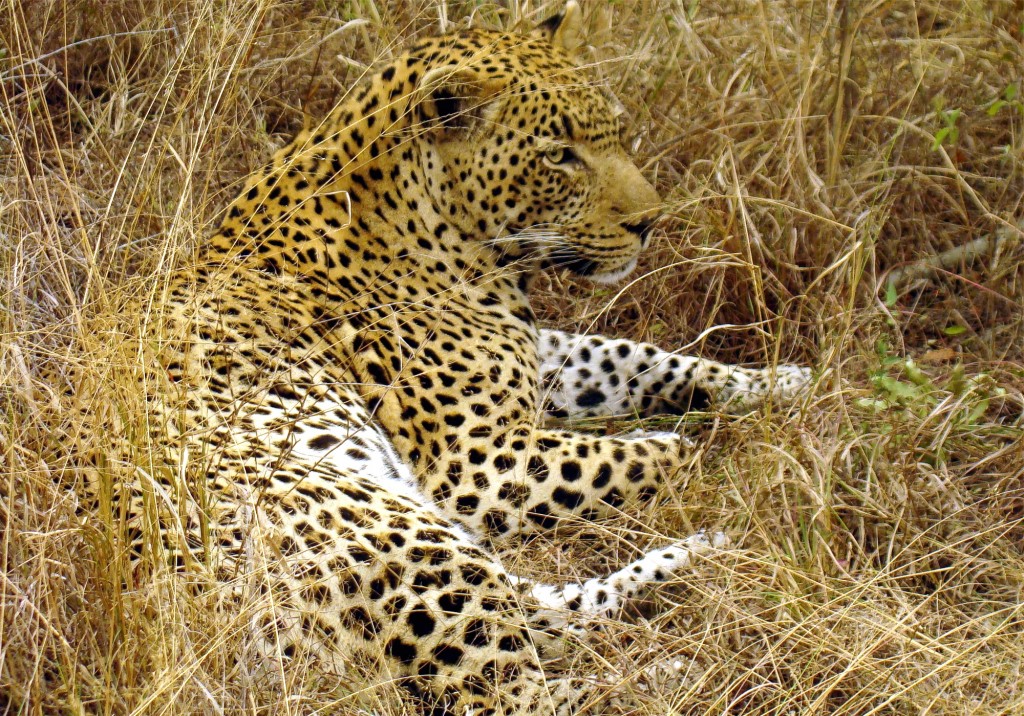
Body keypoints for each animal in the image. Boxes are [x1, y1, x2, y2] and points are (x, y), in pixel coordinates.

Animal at [110, 2, 806, 712]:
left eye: (615, 135)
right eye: (559, 156)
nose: (649, 223)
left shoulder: (536, 352)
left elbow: (631, 357)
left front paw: (777, 382)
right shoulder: (479, 461)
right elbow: (653, 452)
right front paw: (720, 447)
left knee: (547, 613)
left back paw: (694, 561)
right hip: (407, 541)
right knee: (517, 690)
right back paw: (673, 675)